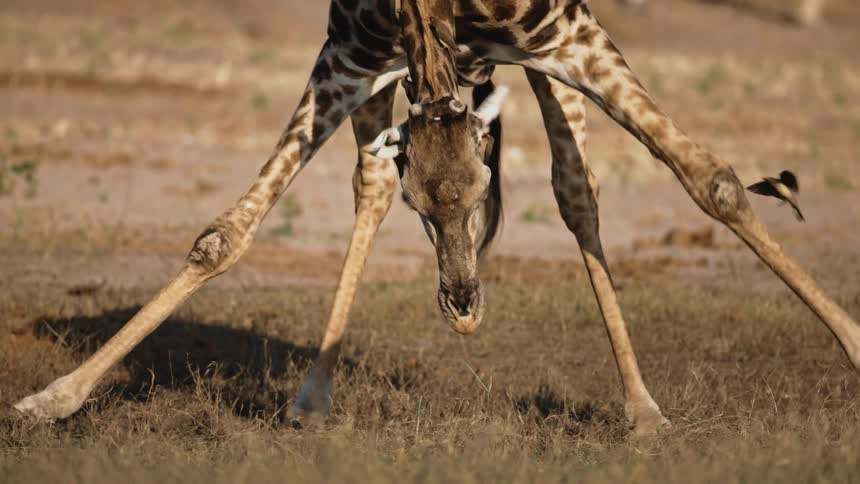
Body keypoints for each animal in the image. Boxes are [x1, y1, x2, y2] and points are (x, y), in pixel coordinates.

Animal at [14, 0, 860, 436]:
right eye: (424, 205)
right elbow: (225, 235)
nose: (462, 304)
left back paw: (642, 409)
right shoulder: (348, 58)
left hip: (549, 61)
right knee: (369, 183)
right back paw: (313, 396)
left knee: (576, 190)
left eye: (485, 185)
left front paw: (852, 345)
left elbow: (710, 180)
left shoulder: (569, 36)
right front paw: (52, 399)